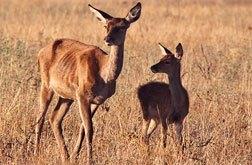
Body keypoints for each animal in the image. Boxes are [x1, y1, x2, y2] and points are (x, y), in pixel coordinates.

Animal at [34, 2, 142, 164]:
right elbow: (89, 128)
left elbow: (83, 128)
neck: (104, 75)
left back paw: (65, 156)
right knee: (40, 119)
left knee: (54, 118)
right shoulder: (82, 96)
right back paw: (35, 153)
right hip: (46, 86)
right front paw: (89, 159)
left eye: (123, 26)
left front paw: (75, 156)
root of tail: (41, 51)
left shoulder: (97, 100)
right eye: (106, 26)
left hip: (66, 96)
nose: (107, 39)